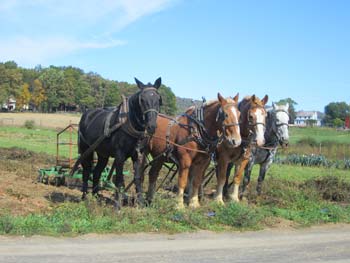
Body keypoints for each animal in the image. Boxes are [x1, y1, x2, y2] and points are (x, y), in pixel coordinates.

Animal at [77, 77, 162, 205]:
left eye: (158, 99)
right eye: (142, 100)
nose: (151, 126)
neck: (129, 123)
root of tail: (87, 113)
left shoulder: (138, 155)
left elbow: (137, 178)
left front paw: (141, 202)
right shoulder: (119, 155)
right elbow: (119, 179)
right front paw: (117, 204)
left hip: (103, 154)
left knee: (96, 172)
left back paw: (96, 196)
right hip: (86, 149)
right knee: (86, 171)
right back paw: (84, 197)